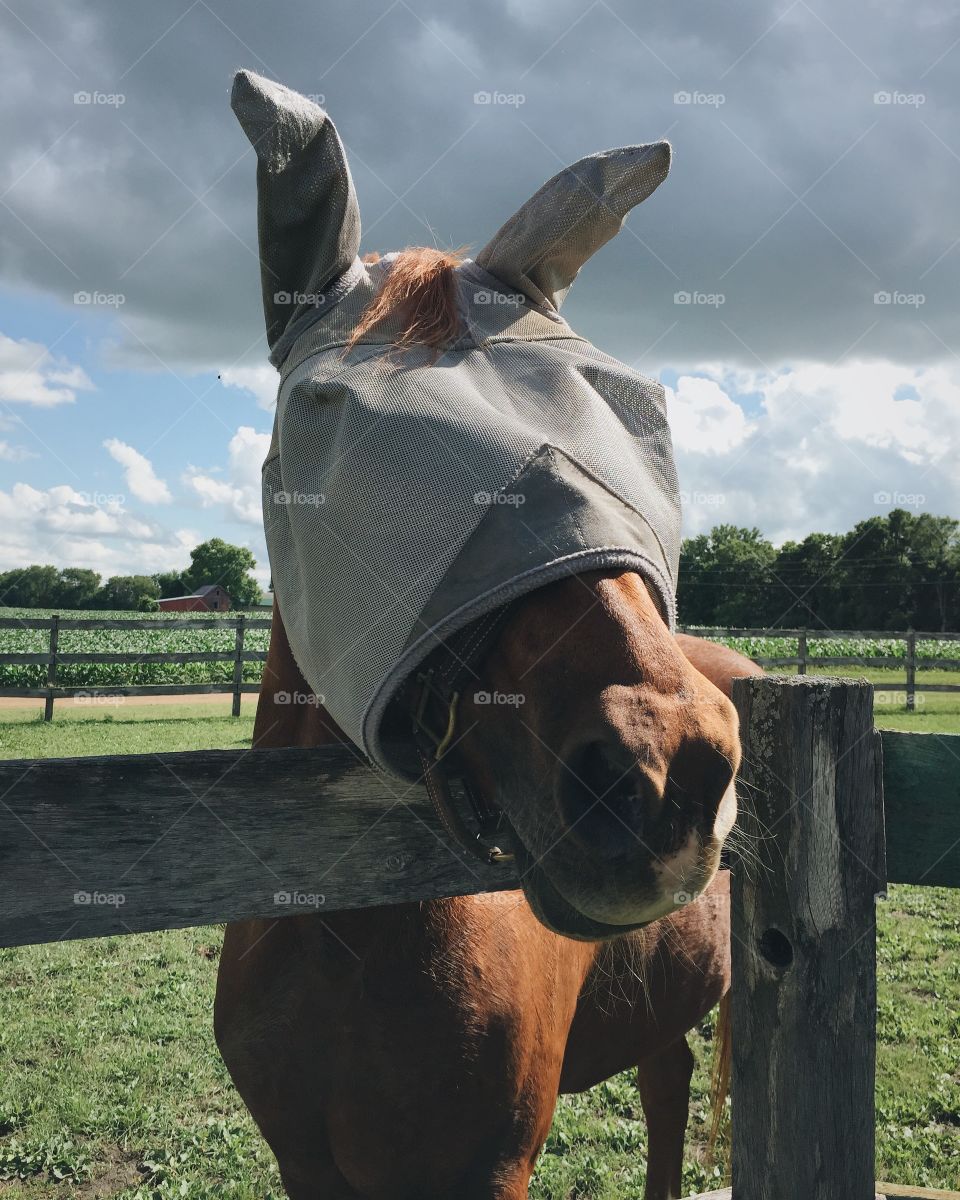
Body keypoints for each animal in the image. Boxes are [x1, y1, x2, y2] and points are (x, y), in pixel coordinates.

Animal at [216, 70, 758, 1195]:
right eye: (322, 407)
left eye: (635, 408)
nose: (665, 769)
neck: (344, 935)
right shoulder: (304, 1165)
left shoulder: (489, 1168)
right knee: (667, 1077)